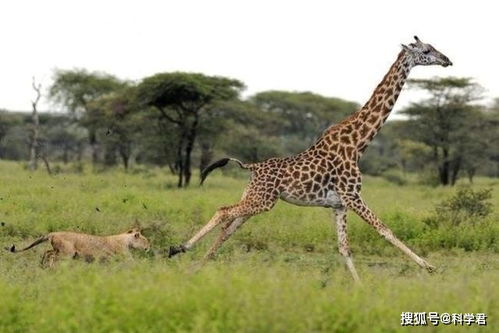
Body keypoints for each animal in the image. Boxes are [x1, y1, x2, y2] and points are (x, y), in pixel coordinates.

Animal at [6, 227, 150, 266]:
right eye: (145, 240)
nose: (149, 246)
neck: (126, 239)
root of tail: (53, 233)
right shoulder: (125, 257)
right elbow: (134, 264)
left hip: (59, 250)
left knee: (47, 252)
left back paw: (43, 266)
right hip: (66, 253)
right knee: (52, 256)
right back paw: (51, 268)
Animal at [168, 36, 454, 280]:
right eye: (427, 50)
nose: (447, 60)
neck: (358, 143)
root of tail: (251, 166)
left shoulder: (339, 205)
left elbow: (344, 248)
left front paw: (359, 287)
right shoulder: (353, 196)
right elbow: (385, 230)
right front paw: (430, 267)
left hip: (255, 197)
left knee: (229, 227)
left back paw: (194, 263)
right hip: (263, 201)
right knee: (223, 212)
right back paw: (180, 249)